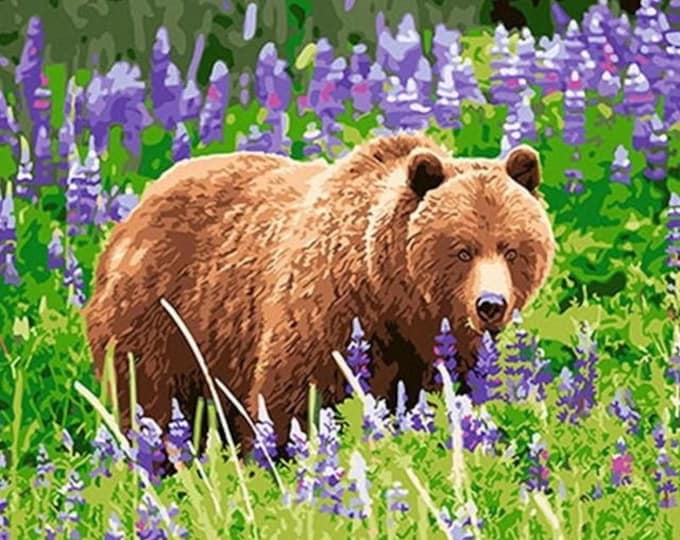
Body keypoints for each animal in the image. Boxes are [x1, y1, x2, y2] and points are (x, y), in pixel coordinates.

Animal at [83, 132, 556, 452]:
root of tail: (132, 214)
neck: (393, 299)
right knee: (149, 404)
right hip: (162, 319)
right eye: (462, 250)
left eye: (512, 248)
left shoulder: (445, 347)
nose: (491, 305)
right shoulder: (328, 318)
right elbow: (290, 402)